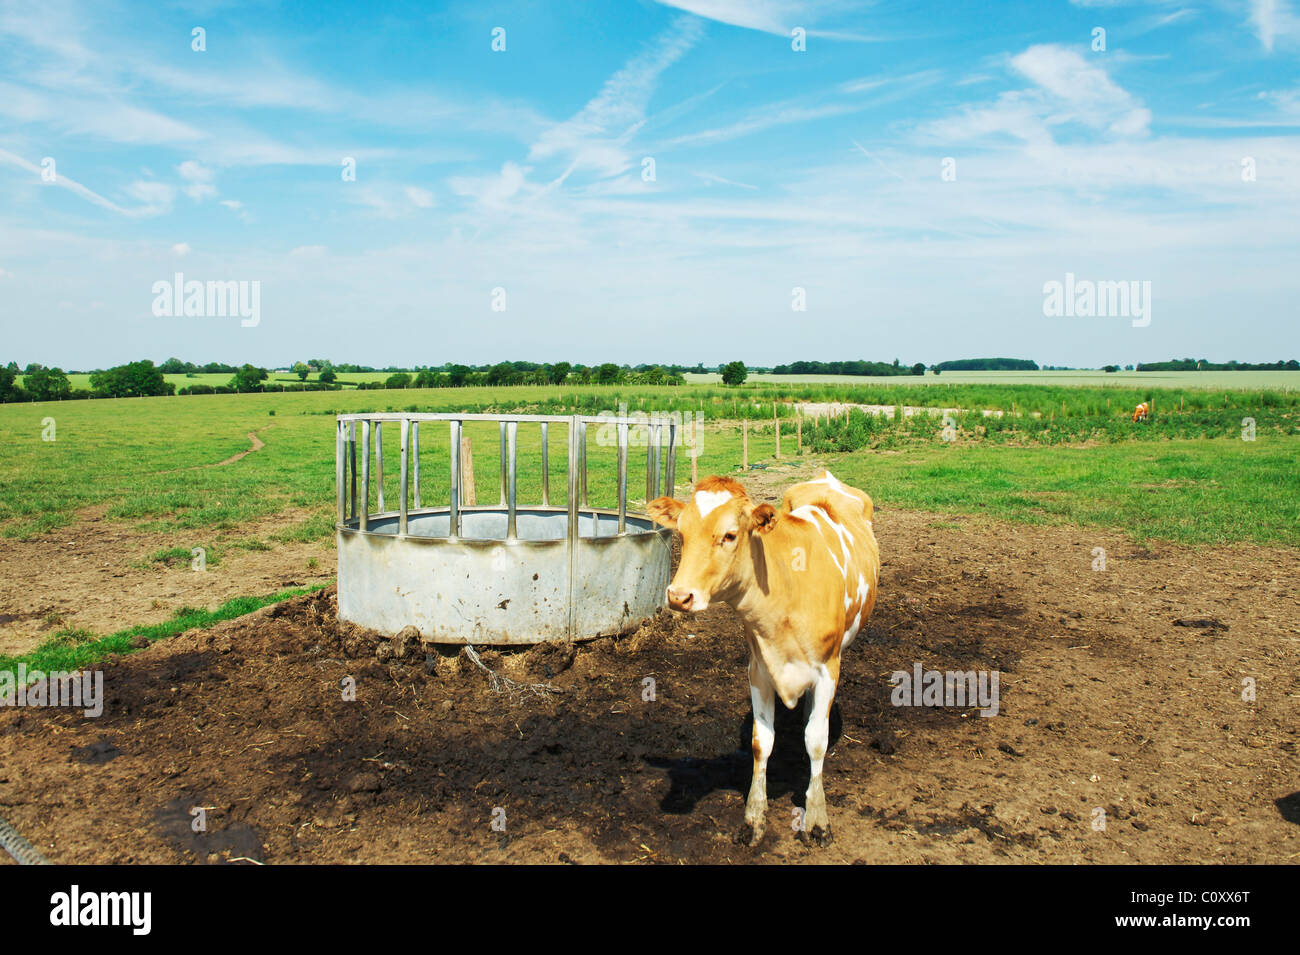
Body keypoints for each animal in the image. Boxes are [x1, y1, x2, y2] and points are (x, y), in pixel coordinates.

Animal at [650, 467, 883, 841]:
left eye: (730, 535)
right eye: (682, 533)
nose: (679, 596)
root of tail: (826, 477)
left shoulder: (828, 668)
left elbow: (817, 740)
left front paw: (817, 816)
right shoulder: (758, 668)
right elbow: (762, 741)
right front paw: (754, 814)